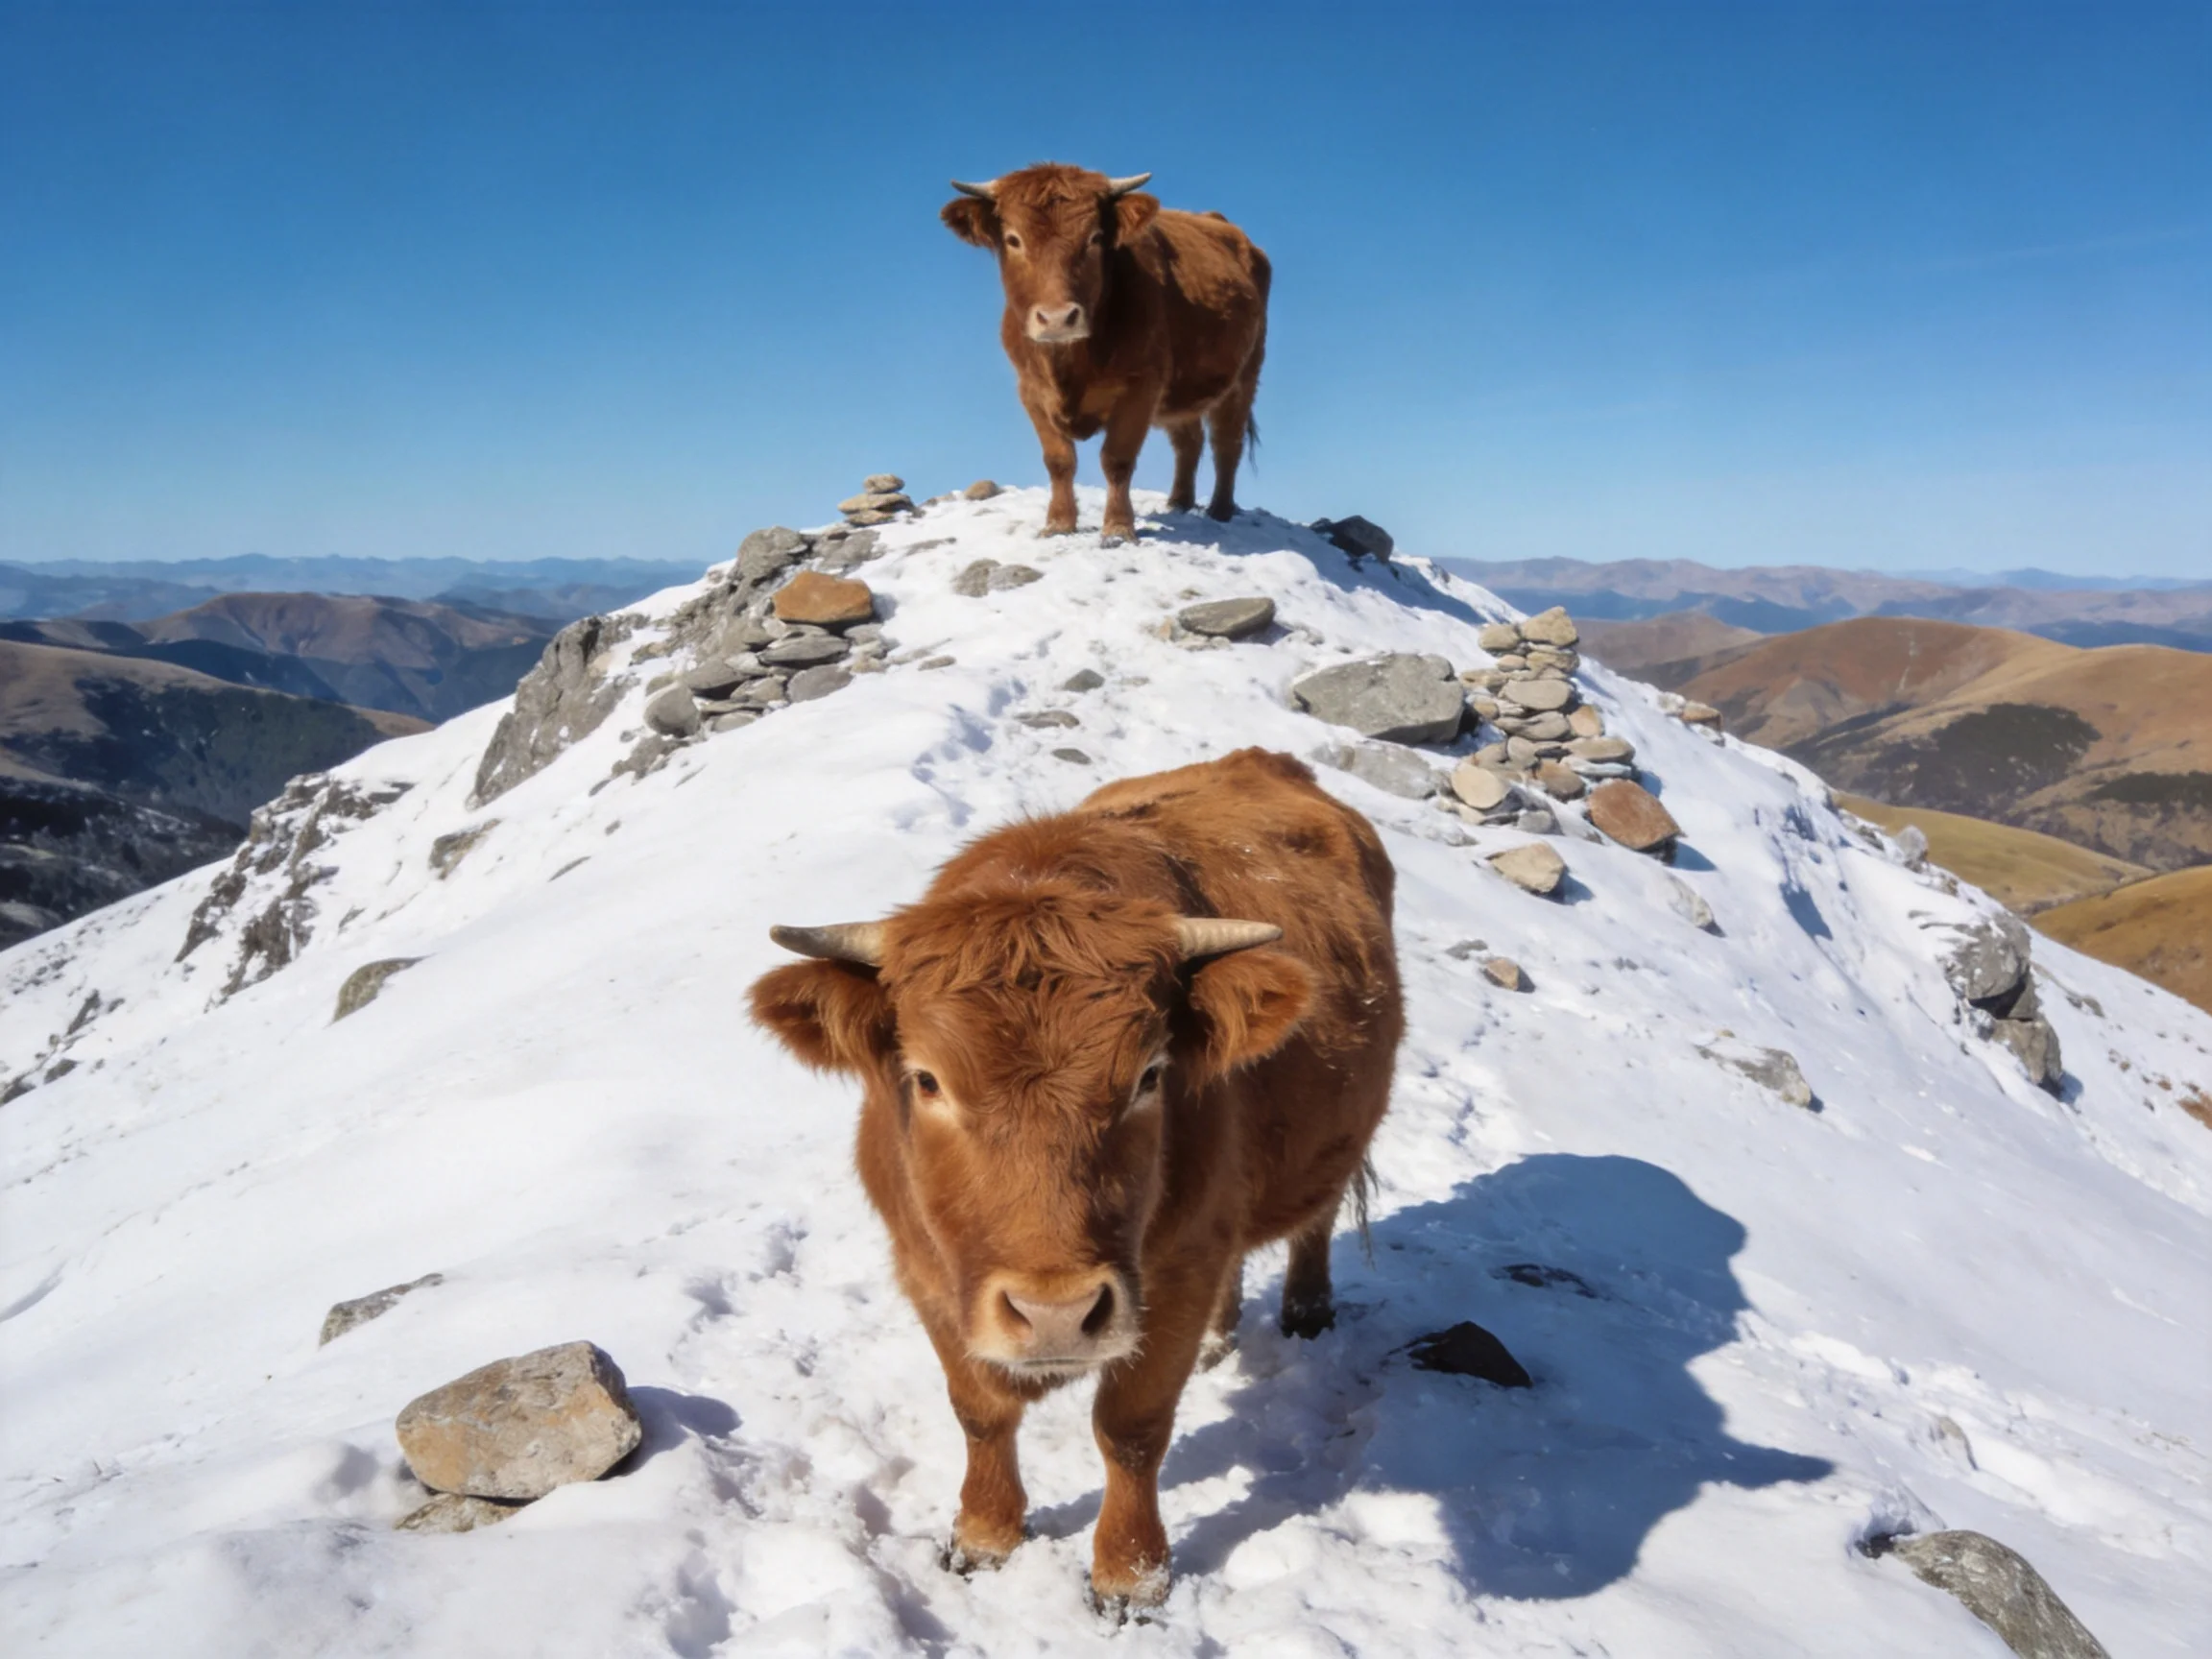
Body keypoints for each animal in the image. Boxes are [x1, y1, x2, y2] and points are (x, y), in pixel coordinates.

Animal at [749, 748, 1401, 1610]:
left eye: (1151, 1075)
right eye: (926, 1079)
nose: (1054, 1312)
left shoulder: (1177, 1269)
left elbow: (1131, 1428)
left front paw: (1130, 1575)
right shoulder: (927, 1270)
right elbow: (980, 1412)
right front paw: (985, 1534)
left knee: (1314, 1220)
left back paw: (1306, 1310)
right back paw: (1220, 1340)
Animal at [941, 162, 1271, 545]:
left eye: (1095, 238)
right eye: (1013, 239)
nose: (1057, 318)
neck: (1069, 364)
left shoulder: (1142, 386)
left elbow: (1117, 459)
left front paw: (1117, 529)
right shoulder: (1031, 391)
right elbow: (1059, 460)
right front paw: (1059, 524)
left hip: (1245, 377)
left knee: (1226, 444)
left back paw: (1220, 510)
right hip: (1182, 390)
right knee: (1188, 441)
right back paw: (1179, 503)